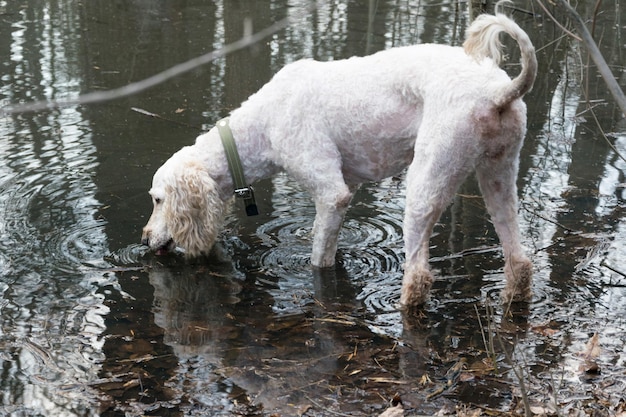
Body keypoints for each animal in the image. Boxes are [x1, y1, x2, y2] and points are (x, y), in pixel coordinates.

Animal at [143, 6, 536, 306]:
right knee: (519, 261)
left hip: (427, 181)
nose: (145, 241)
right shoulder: (348, 186)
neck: (262, 123)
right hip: (499, 175)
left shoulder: (332, 195)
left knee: (419, 276)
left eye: (158, 199)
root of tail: (499, 92)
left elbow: (320, 258)